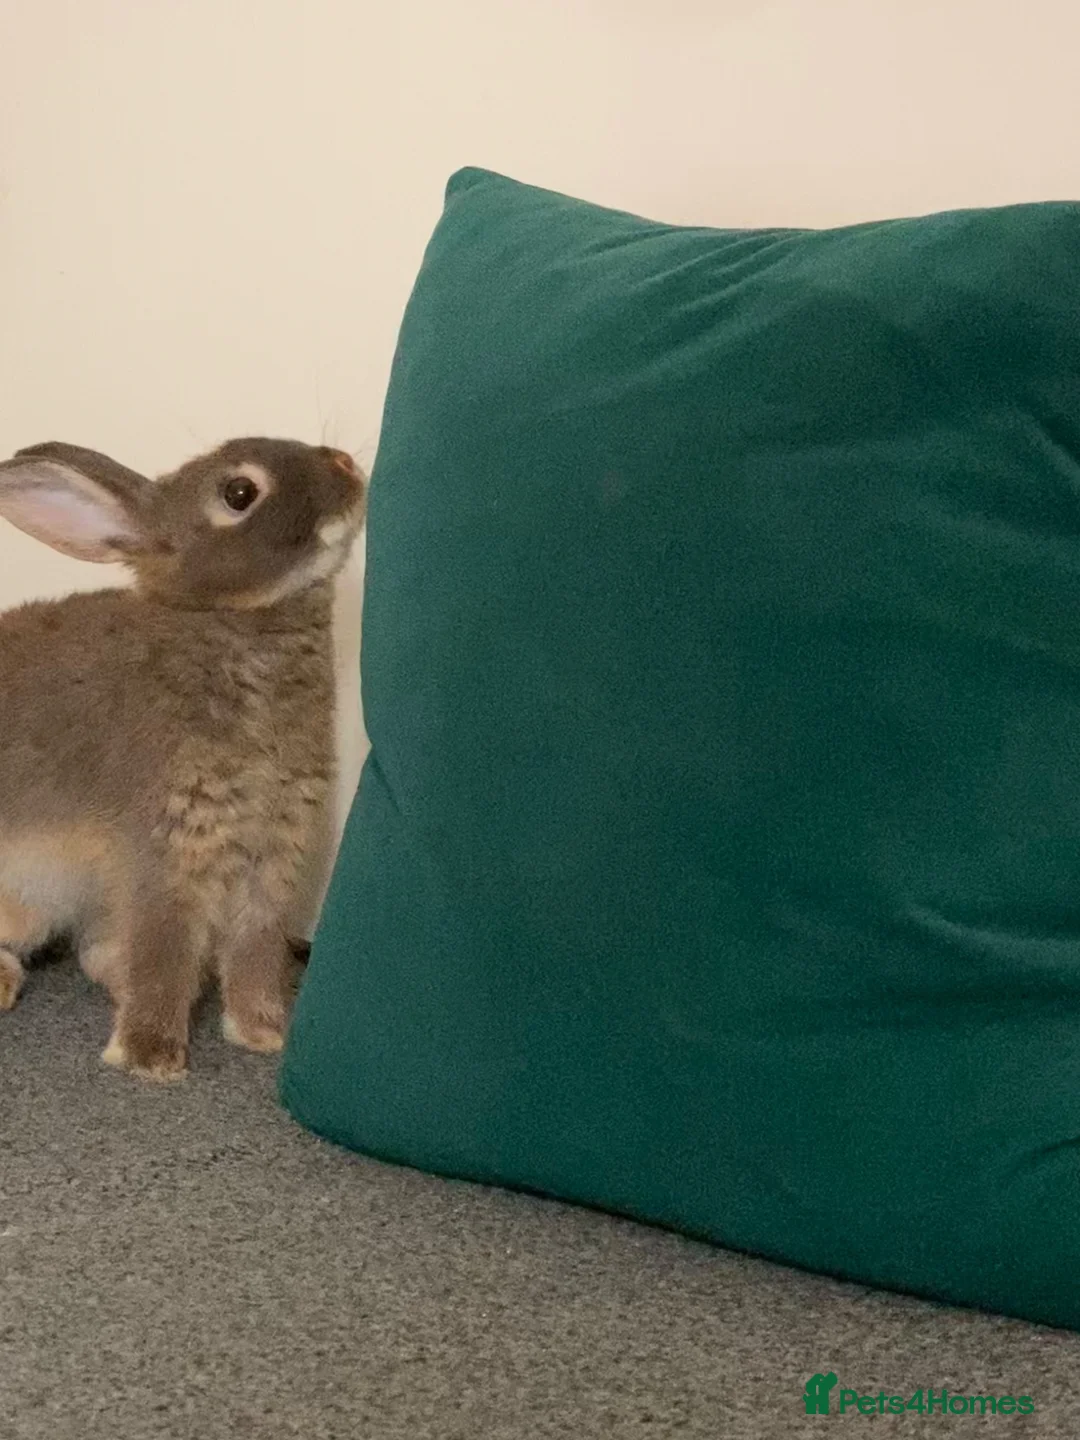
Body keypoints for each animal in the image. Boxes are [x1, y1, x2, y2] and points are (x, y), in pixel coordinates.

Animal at [0, 436, 366, 1081]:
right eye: (239, 492)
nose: (346, 464)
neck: (229, 620)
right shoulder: (168, 847)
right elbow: (164, 948)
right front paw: (151, 1058)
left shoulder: (273, 852)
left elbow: (256, 946)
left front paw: (262, 1033)